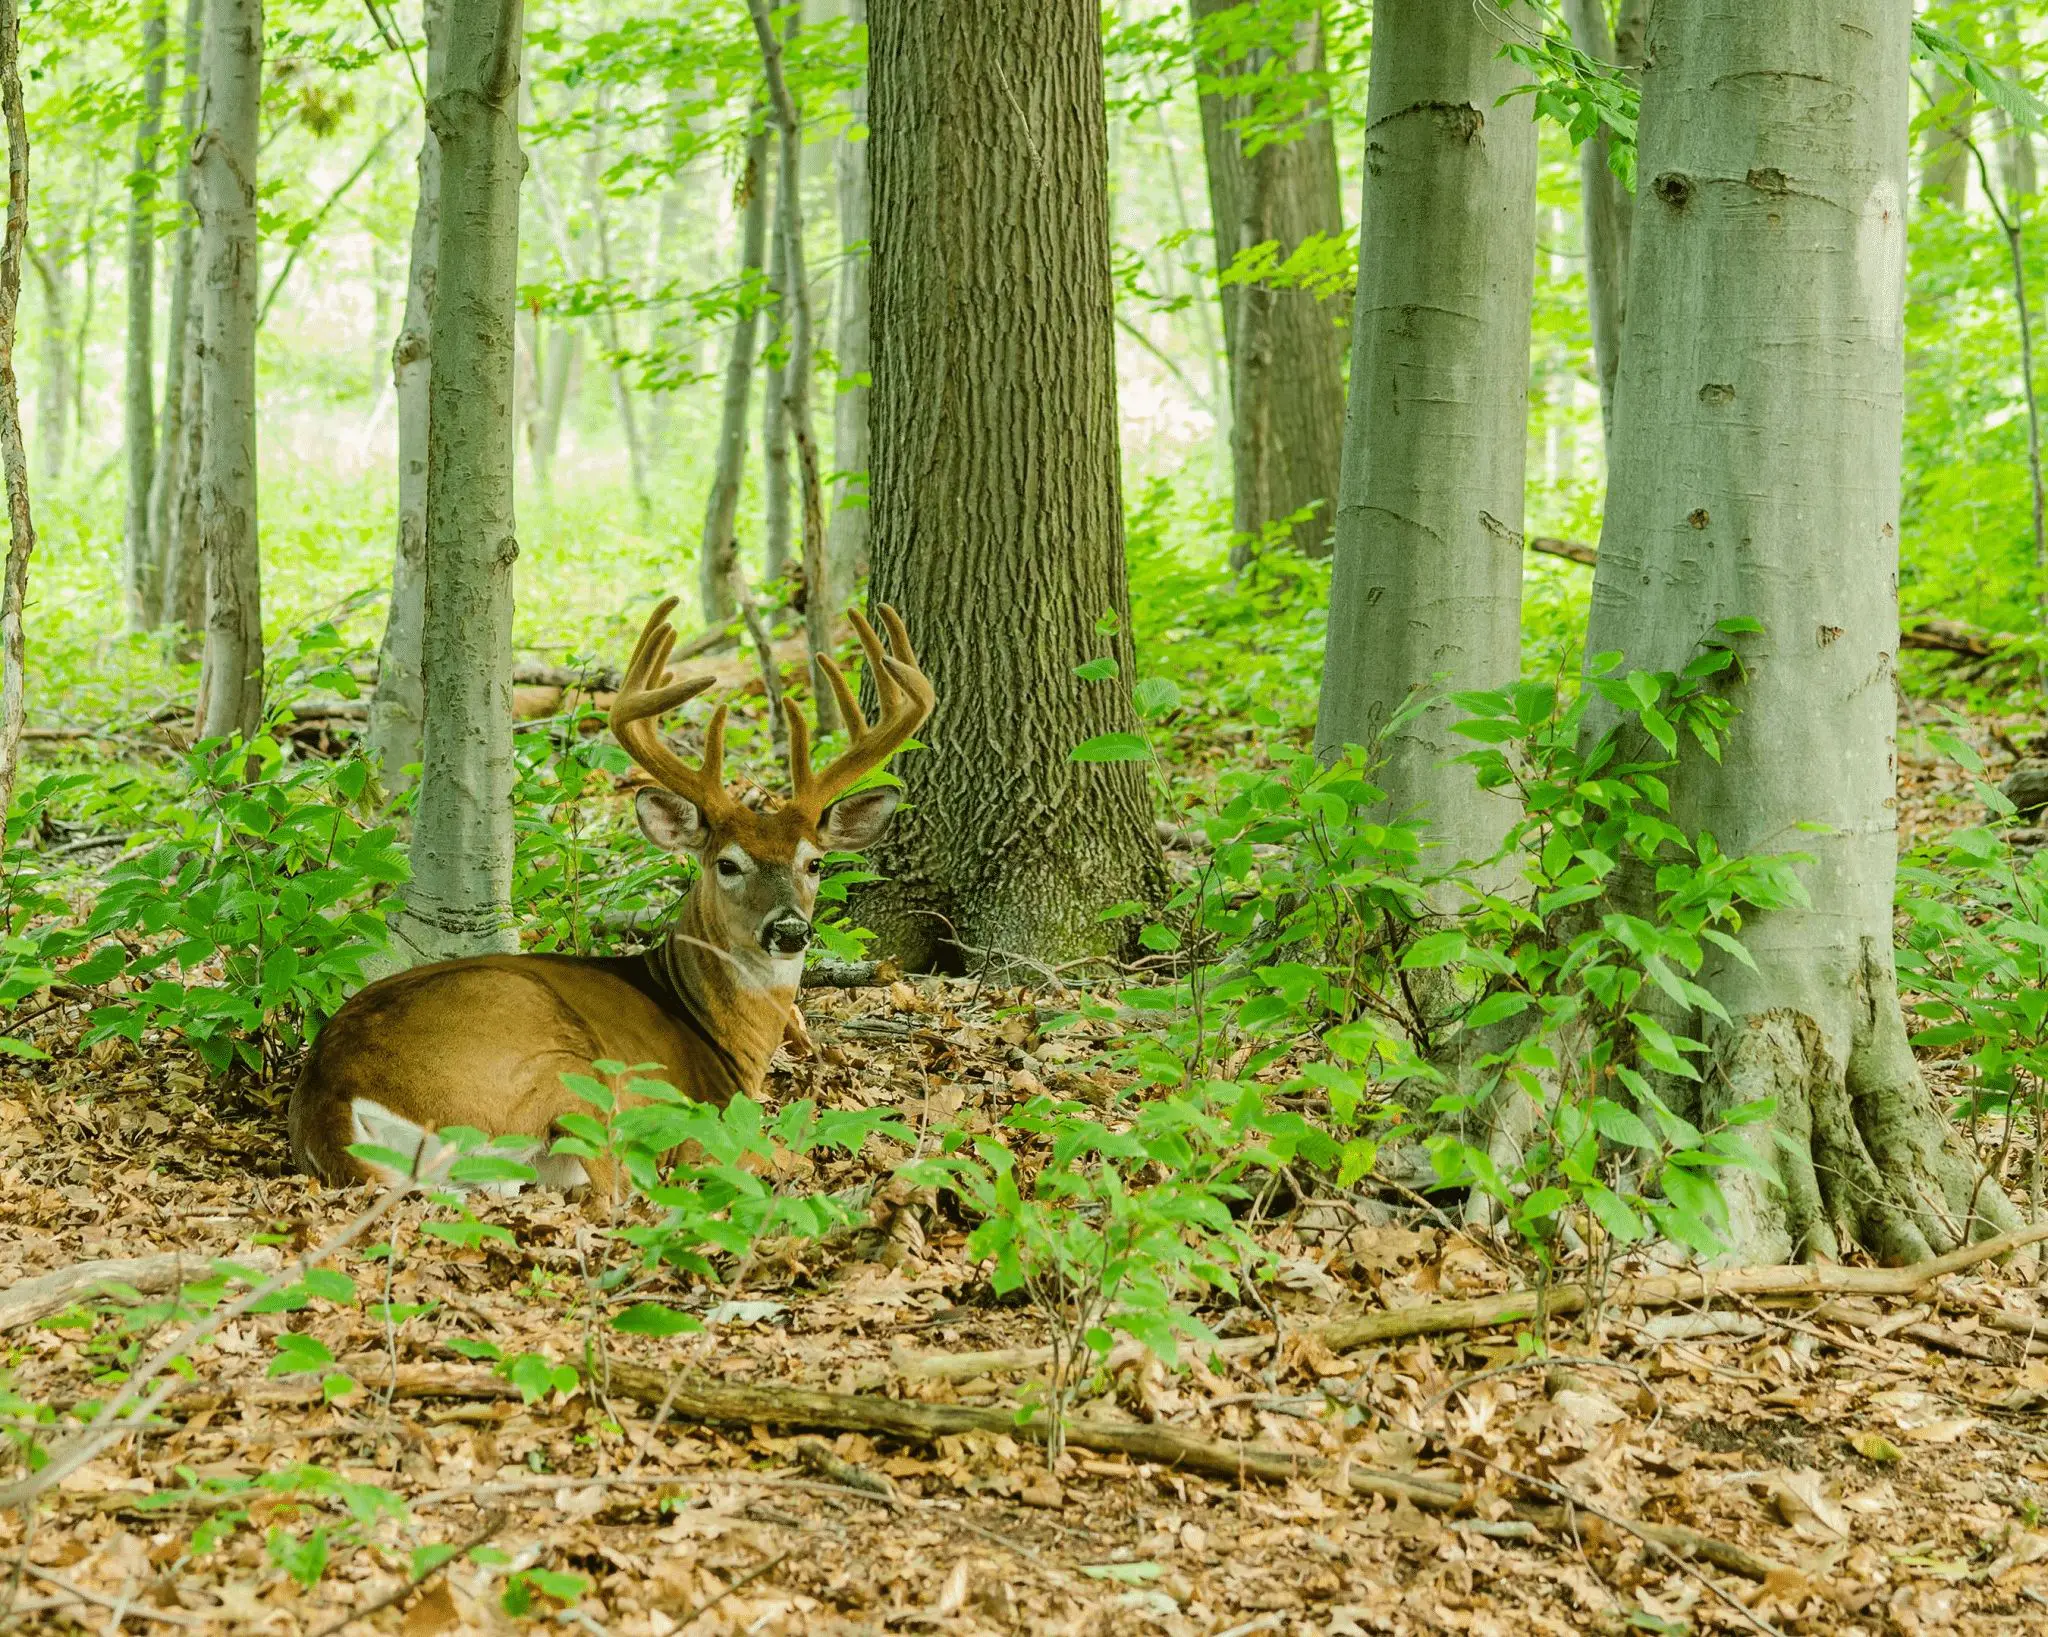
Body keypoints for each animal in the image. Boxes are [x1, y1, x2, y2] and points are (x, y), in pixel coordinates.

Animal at [288, 597, 935, 1201]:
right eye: (727, 864)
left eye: (814, 863)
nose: (790, 930)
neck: (722, 1035)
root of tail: (331, 1094)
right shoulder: (711, 1116)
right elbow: (780, 1155)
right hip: (557, 1069)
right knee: (614, 1185)